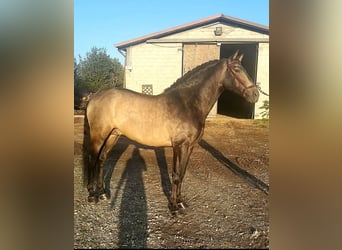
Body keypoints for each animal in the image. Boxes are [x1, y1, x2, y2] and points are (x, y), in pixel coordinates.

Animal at [83, 50, 260, 211]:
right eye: (237, 69)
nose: (255, 94)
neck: (187, 103)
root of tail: (95, 96)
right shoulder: (179, 145)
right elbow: (175, 175)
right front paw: (174, 206)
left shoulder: (189, 146)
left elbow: (181, 174)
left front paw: (181, 202)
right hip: (99, 136)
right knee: (92, 158)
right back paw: (91, 195)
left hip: (113, 135)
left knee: (102, 159)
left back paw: (103, 193)